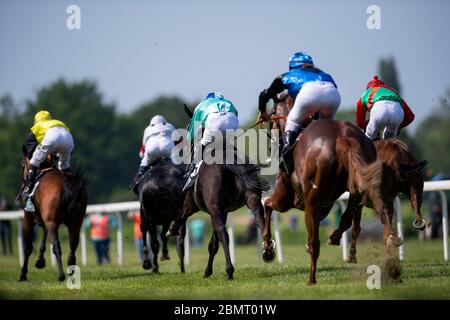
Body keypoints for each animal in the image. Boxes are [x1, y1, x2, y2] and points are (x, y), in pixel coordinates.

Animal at [18, 146, 88, 282]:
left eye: (22, 164)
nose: (23, 183)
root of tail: (67, 184)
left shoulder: (28, 218)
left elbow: (28, 247)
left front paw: (23, 274)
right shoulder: (45, 218)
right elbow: (43, 236)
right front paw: (40, 261)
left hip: (52, 223)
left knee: (56, 246)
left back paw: (61, 275)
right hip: (75, 222)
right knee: (73, 246)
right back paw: (71, 273)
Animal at [166, 149, 270, 278]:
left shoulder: (195, 206)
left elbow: (182, 215)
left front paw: (172, 230)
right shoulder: (222, 212)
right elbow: (213, 244)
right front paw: (208, 271)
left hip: (214, 210)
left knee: (224, 235)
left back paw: (229, 270)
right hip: (253, 200)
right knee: (261, 221)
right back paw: (268, 253)